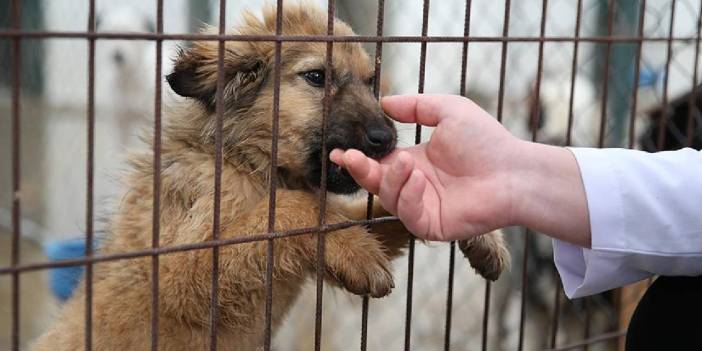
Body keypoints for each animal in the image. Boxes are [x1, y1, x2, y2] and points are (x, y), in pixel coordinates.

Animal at [31, 4, 512, 350]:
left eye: (371, 82)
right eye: (317, 76)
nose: (386, 140)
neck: (249, 164)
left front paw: (476, 228)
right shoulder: (176, 272)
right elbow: (286, 213)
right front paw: (354, 250)